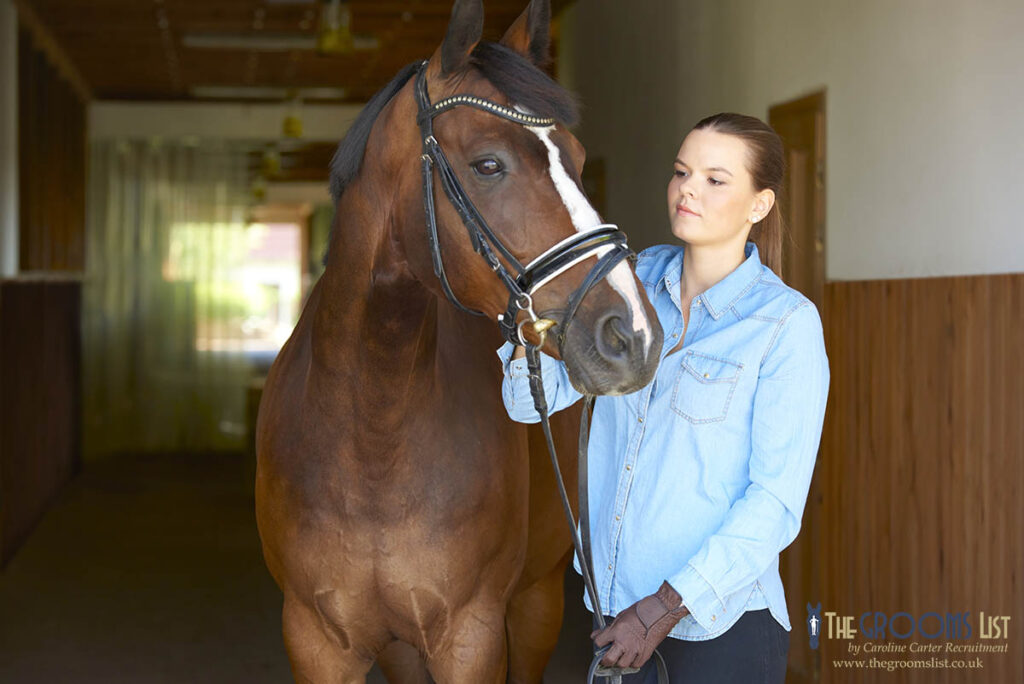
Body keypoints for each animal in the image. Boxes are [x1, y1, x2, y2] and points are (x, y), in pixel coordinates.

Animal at [255, 1, 663, 681]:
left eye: (578, 159)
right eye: (488, 164)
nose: (632, 333)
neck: (372, 437)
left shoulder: (471, 636)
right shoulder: (314, 640)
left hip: (536, 603)